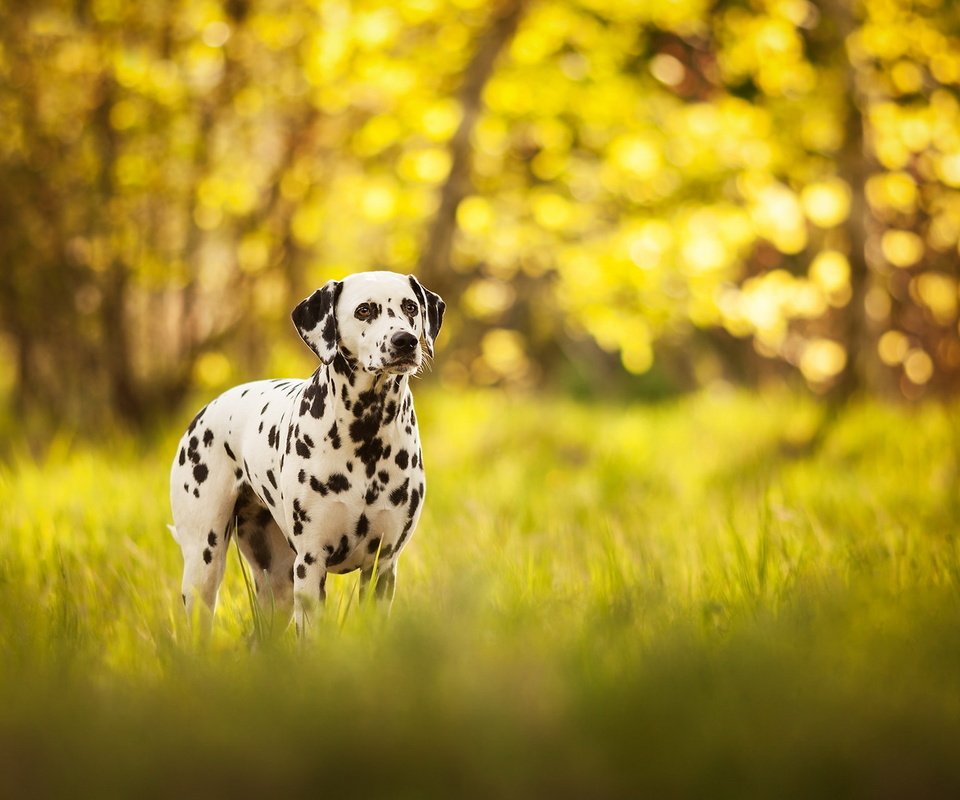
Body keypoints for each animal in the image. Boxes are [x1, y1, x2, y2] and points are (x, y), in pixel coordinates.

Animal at [168, 272, 442, 636]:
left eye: (410, 307)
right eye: (364, 310)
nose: (405, 341)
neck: (367, 434)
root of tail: (208, 408)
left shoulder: (382, 568)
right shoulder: (311, 564)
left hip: (279, 585)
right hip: (205, 564)